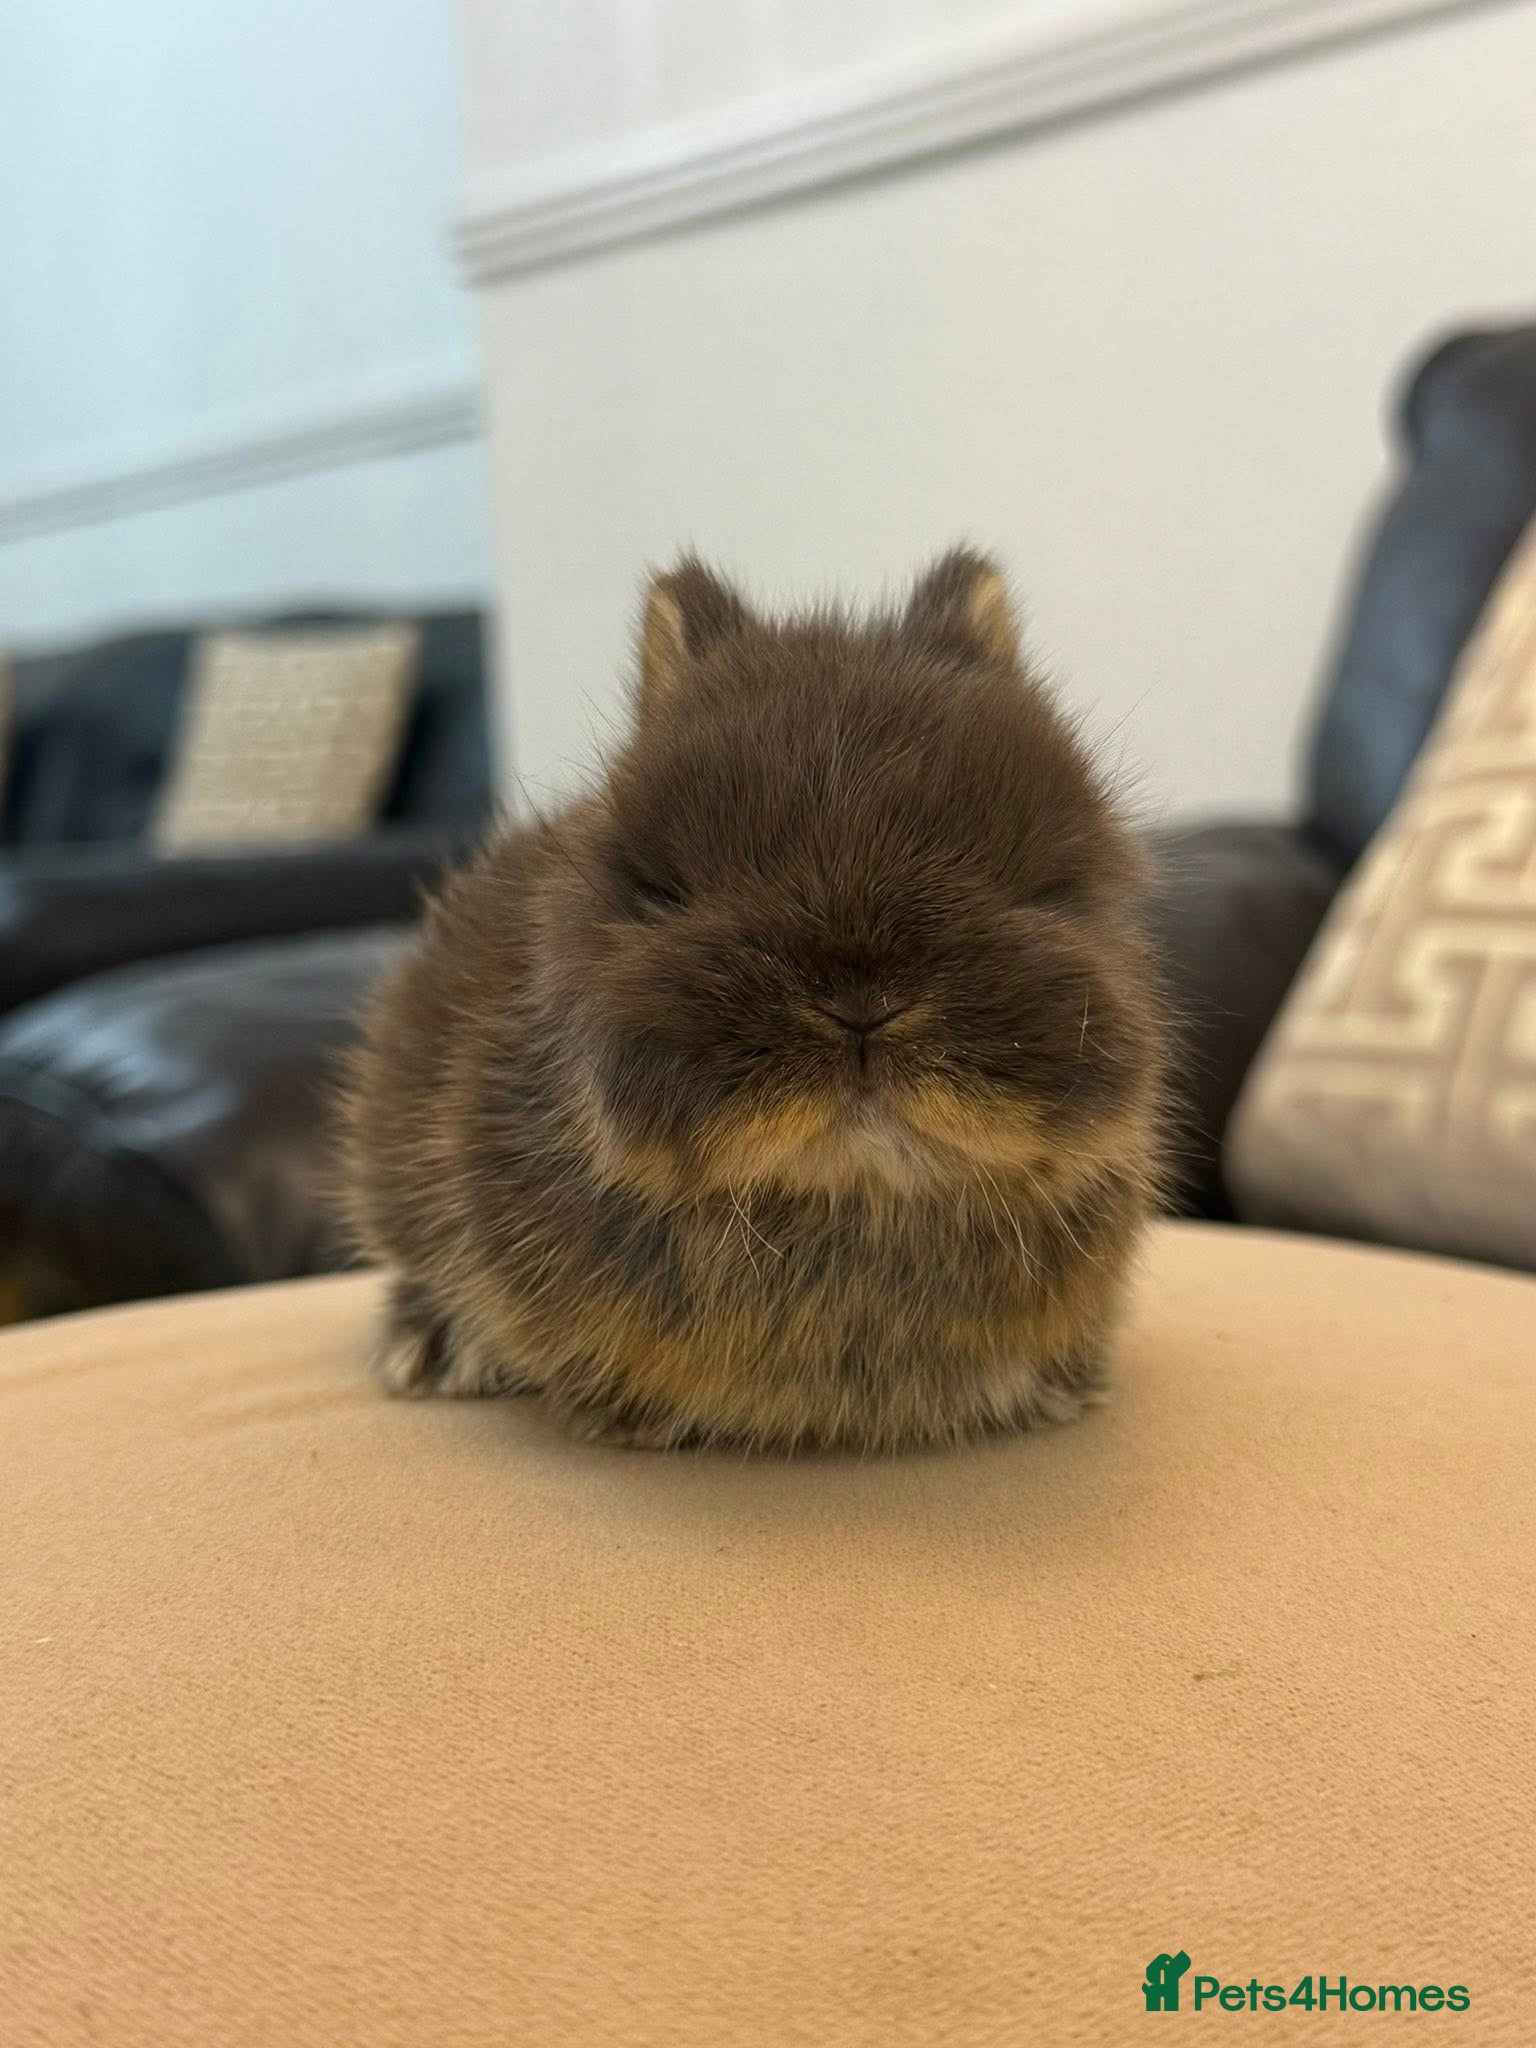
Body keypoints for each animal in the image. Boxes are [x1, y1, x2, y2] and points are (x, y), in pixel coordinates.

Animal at [340, 549, 1168, 1453]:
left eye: (1045, 887)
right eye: (664, 889)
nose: (861, 1007)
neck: (855, 1200)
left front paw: (1061, 1391)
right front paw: (624, 1413)